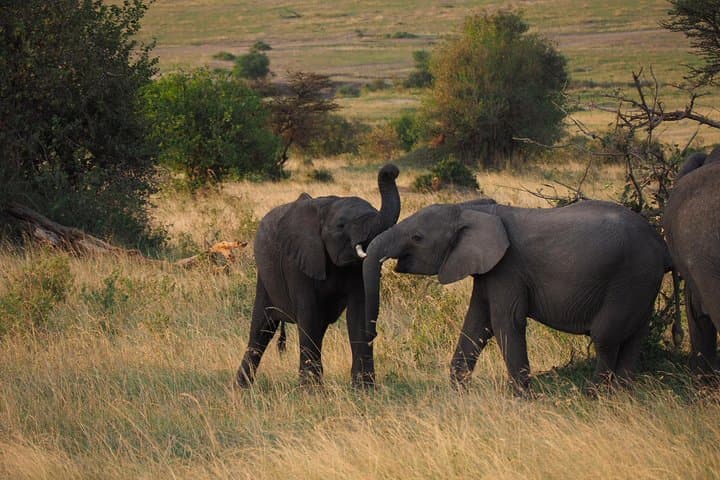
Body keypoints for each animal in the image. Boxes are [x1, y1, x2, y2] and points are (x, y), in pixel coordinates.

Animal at [237, 164, 400, 388]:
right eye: (341, 225)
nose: (392, 170)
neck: (328, 206)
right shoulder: (297, 262)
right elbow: (309, 315)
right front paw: (312, 391)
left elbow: (358, 314)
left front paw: (364, 390)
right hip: (265, 277)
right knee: (262, 329)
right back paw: (241, 388)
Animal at [363, 199, 670, 392]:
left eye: (417, 238)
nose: (374, 334)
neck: (473, 209)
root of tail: (661, 244)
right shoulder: (489, 269)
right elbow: (476, 324)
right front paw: (459, 390)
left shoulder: (508, 268)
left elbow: (505, 322)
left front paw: (522, 398)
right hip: (641, 284)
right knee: (635, 337)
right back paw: (622, 395)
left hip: (629, 277)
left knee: (606, 337)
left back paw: (594, 395)